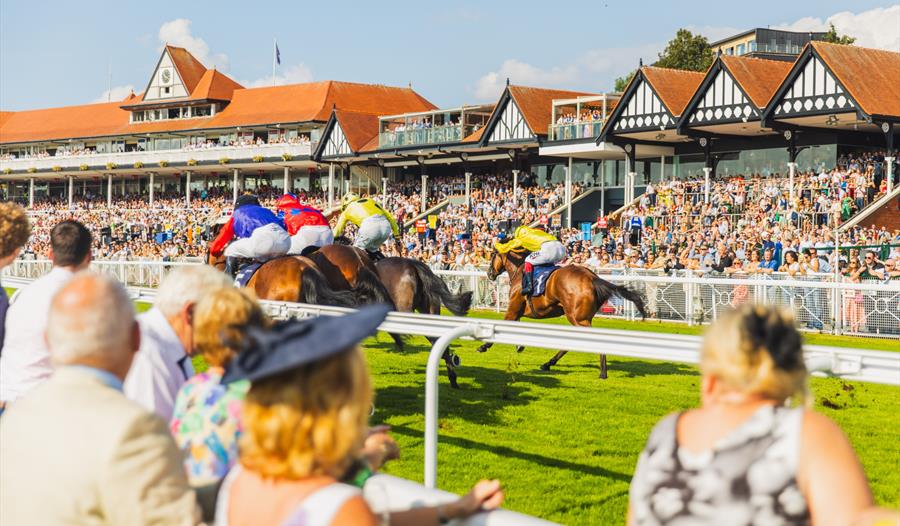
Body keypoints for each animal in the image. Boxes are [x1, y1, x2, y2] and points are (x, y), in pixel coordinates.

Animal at [482, 249, 644, 380]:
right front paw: (519, 346)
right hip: (580, 318)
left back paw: (603, 373)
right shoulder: (517, 312)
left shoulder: (513, 309)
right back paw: (548, 363)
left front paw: (484, 346)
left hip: (577, 318)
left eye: (492, 254)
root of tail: (592, 278)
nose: (489, 273)